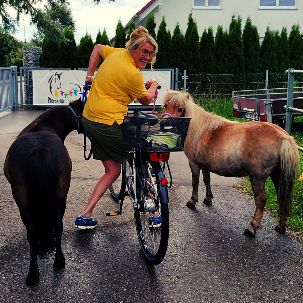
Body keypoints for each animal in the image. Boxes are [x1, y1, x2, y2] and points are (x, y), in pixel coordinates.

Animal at [3, 98, 84, 286]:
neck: (43, 126)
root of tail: (38, 150)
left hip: (23, 200)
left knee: (33, 232)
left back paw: (34, 272)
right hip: (60, 195)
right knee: (57, 225)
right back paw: (58, 261)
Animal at [163, 90, 300, 238]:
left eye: (180, 109)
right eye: (165, 105)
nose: (165, 125)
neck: (198, 129)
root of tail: (284, 137)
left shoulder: (194, 163)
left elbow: (195, 182)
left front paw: (192, 201)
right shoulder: (205, 165)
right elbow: (206, 180)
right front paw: (208, 198)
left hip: (257, 177)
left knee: (261, 199)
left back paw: (252, 227)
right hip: (277, 175)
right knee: (282, 196)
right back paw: (281, 226)